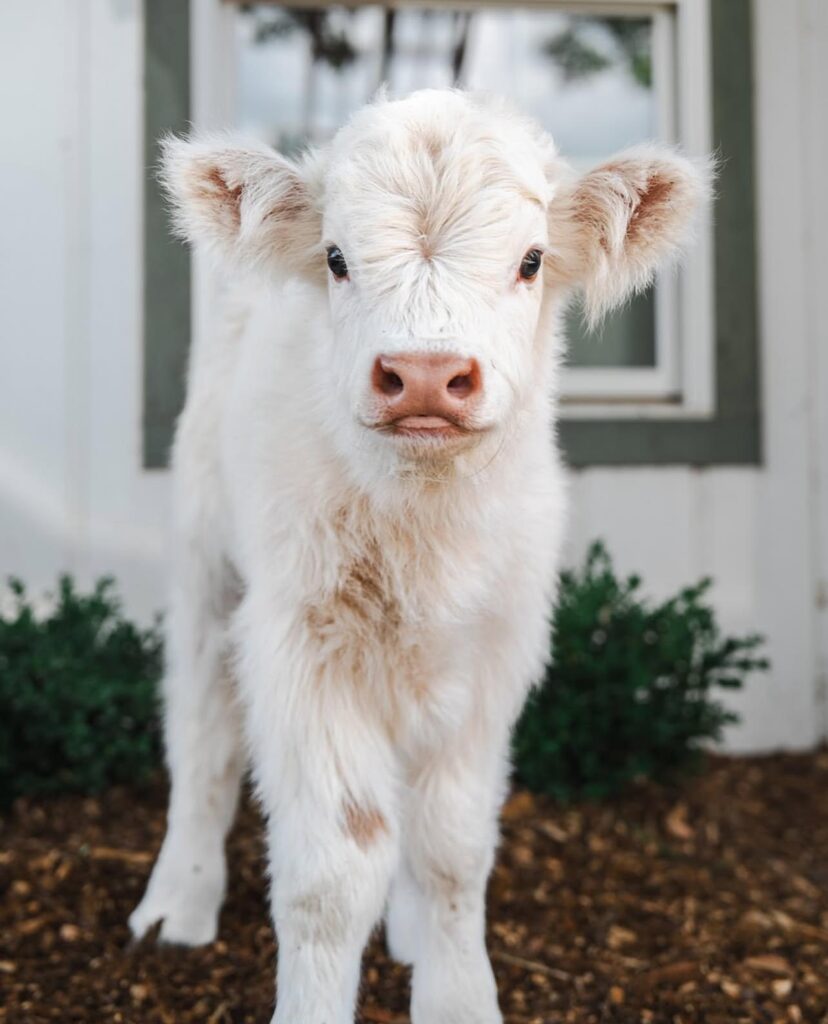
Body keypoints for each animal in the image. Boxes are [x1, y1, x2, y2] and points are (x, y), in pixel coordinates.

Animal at [129, 89, 709, 1024]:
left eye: (531, 260)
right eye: (335, 258)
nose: (427, 375)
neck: (425, 531)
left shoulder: (492, 656)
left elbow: (451, 850)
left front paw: (458, 995)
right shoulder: (304, 646)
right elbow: (331, 875)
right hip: (206, 561)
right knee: (201, 730)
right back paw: (176, 901)